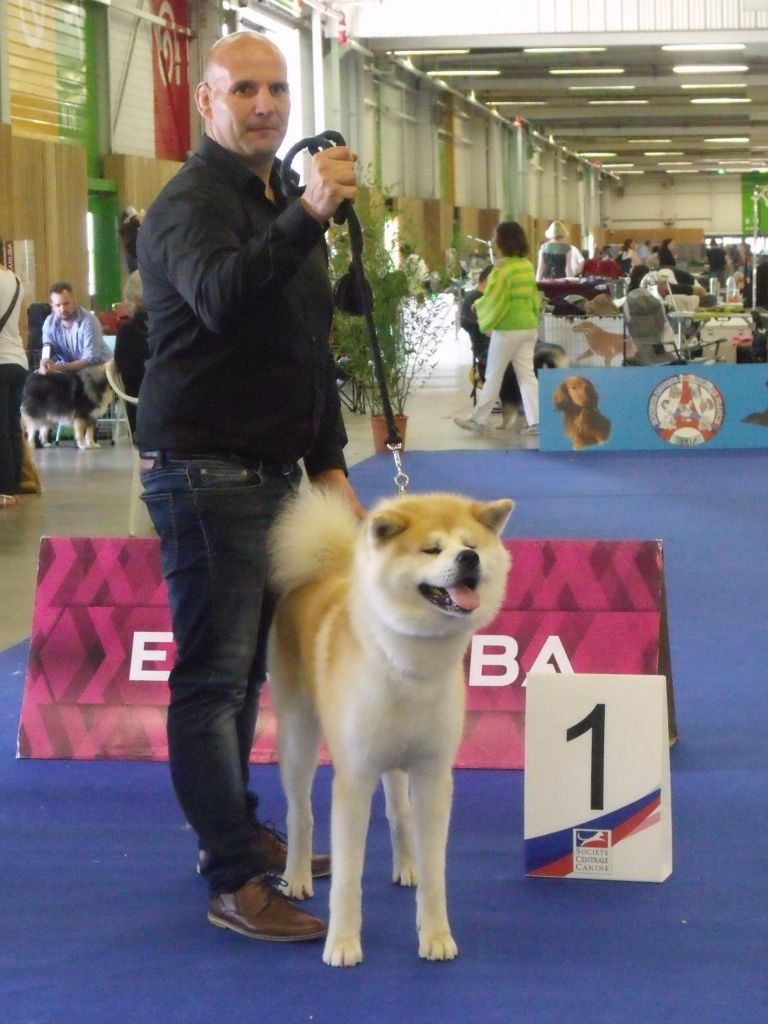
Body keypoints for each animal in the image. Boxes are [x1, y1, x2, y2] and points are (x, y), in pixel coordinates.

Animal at [268, 487, 514, 966]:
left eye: (471, 544)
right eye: (432, 549)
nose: (469, 560)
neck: (409, 663)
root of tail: (318, 575)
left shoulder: (433, 774)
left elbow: (436, 871)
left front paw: (435, 936)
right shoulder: (355, 777)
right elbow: (348, 876)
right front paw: (343, 943)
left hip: (396, 763)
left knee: (399, 814)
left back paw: (406, 866)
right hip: (299, 737)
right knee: (300, 813)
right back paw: (297, 876)